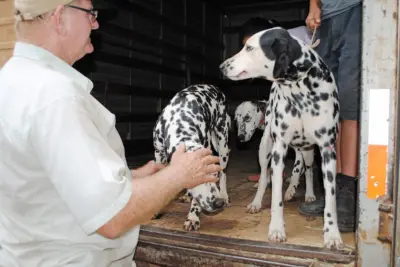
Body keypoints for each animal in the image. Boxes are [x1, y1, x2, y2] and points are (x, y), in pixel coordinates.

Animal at [152, 84, 231, 232]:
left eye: (214, 174)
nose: (219, 203)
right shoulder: (159, 155)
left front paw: (193, 217)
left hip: (223, 144)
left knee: (224, 173)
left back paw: (224, 194)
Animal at [220, 26, 342, 250]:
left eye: (249, 47)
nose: (222, 67)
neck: (300, 93)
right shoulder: (279, 150)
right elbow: (275, 193)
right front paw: (276, 228)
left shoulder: (328, 150)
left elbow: (330, 197)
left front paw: (332, 235)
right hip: (265, 149)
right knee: (263, 178)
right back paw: (257, 202)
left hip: (308, 152)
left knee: (308, 170)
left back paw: (309, 194)